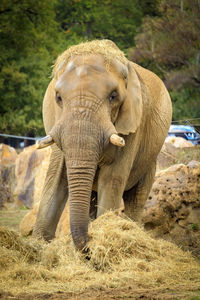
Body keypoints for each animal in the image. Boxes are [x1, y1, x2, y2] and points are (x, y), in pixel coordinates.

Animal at [32, 39, 172, 251]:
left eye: (113, 96)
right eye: (58, 98)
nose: (87, 249)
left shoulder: (132, 127)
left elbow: (111, 179)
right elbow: (56, 179)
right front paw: (38, 247)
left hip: (149, 159)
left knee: (136, 199)